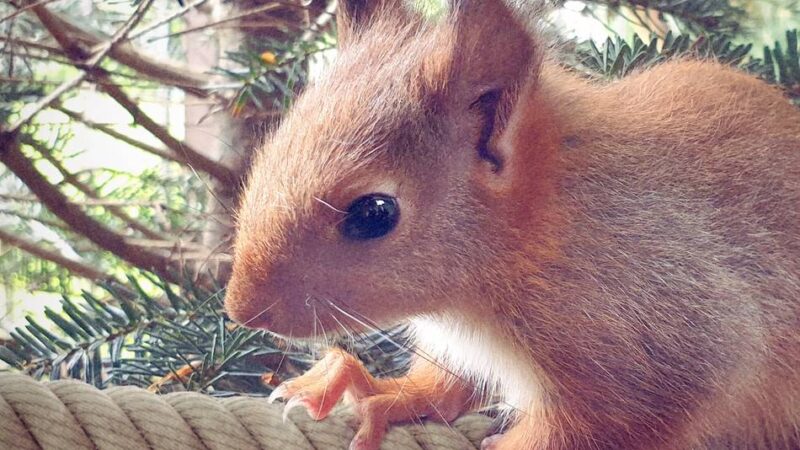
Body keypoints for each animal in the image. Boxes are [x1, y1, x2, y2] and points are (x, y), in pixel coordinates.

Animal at [224, 0, 800, 448]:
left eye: (374, 213)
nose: (242, 310)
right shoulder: (461, 346)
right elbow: (445, 385)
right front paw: (380, 392)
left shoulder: (676, 326)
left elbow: (612, 423)